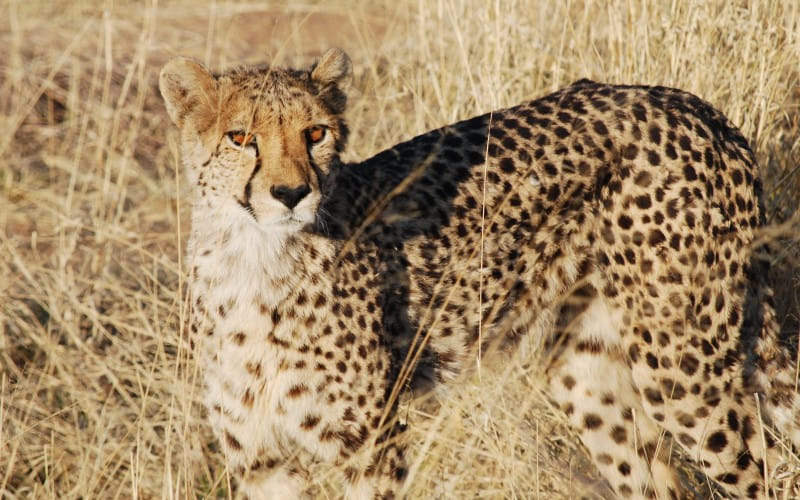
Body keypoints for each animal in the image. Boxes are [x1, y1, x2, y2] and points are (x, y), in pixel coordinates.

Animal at [158, 47, 800, 500]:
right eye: (241, 137)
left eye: (315, 133)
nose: (291, 193)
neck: (252, 257)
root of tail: (697, 108)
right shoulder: (260, 461)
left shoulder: (370, 445)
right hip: (588, 371)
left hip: (683, 372)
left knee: (767, 470)